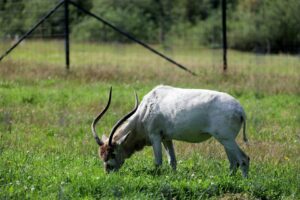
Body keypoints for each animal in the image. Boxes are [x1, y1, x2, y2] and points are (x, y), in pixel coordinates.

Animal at [92, 85, 251, 177]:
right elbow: (172, 161)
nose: (108, 171)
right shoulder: (166, 138)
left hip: (226, 139)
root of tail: (240, 110)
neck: (145, 110)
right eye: (101, 154)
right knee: (233, 162)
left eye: (112, 153)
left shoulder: (155, 136)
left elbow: (158, 162)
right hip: (225, 140)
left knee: (243, 159)